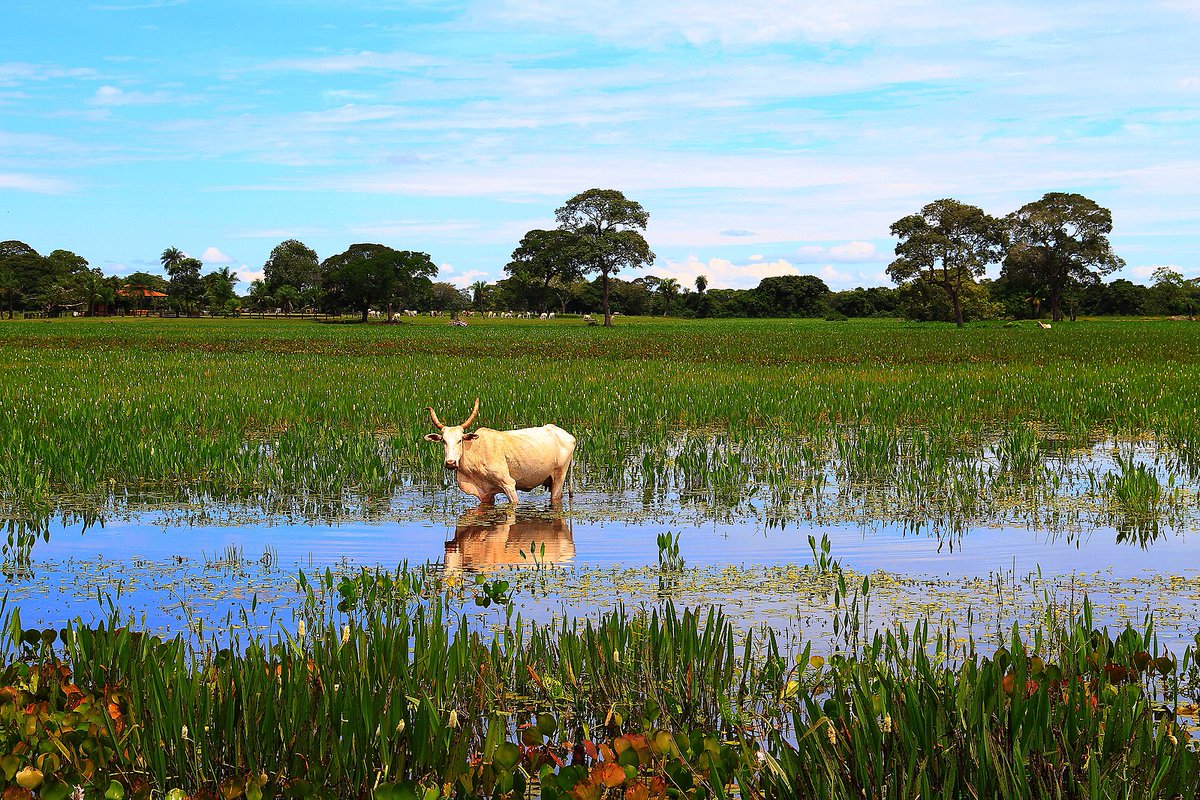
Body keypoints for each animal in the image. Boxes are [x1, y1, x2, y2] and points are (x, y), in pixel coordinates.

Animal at [427, 400, 576, 506]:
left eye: (459, 440)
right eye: (443, 441)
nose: (450, 463)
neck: (475, 452)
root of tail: (569, 436)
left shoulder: (508, 484)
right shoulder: (485, 493)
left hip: (559, 476)